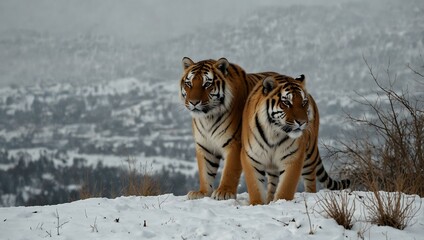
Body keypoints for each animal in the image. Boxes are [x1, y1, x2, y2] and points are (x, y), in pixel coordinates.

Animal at [180, 56, 276, 201]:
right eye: (189, 84)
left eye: (207, 84)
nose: (194, 102)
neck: (208, 118)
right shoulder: (204, 145)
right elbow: (205, 171)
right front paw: (202, 193)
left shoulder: (235, 143)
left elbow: (230, 170)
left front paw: (224, 192)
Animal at [240, 73, 350, 204]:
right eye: (287, 102)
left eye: (304, 102)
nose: (302, 122)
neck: (274, 133)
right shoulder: (251, 157)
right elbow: (255, 187)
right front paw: (257, 204)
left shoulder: (293, 158)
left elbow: (286, 187)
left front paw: (281, 202)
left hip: (309, 156)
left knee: (311, 180)